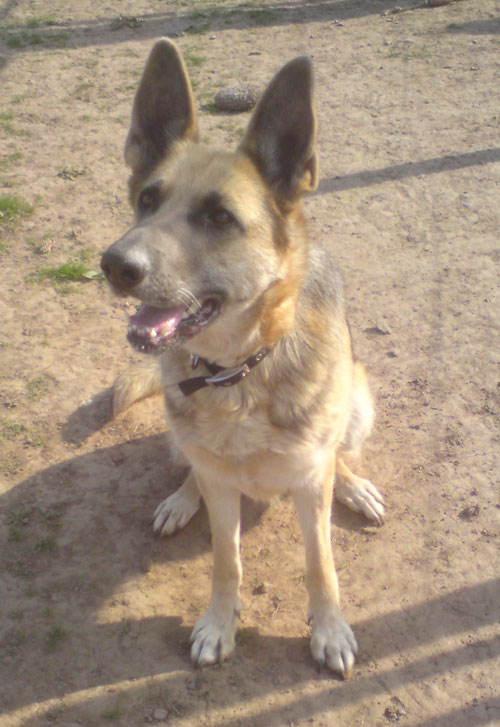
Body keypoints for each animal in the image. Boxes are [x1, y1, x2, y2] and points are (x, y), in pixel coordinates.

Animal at [100, 38, 382, 676]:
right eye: (147, 200)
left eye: (218, 216)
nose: (114, 265)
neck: (239, 371)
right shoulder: (223, 488)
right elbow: (225, 560)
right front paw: (218, 623)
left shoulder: (309, 483)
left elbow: (321, 565)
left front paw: (329, 629)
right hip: (178, 435)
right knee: (193, 469)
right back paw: (181, 500)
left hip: (359, 405)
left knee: (341, 455)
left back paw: (354, 486)